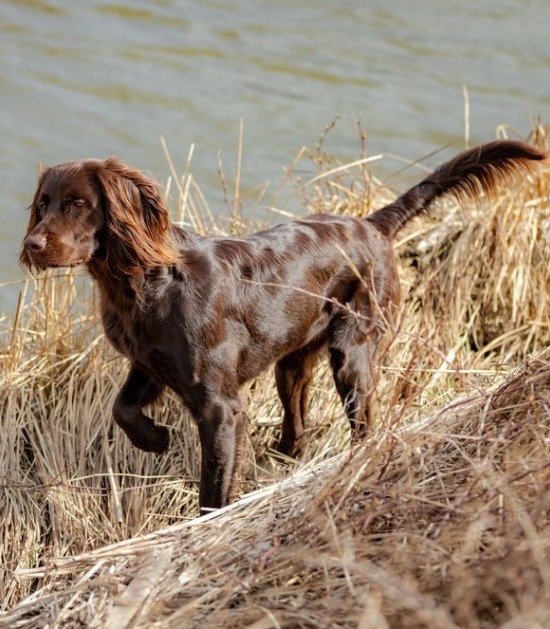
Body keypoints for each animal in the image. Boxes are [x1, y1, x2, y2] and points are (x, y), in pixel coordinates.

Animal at [19, 141, 548, 510]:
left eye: (78, 203)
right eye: (43, 203)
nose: (31, 244)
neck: (143, 283)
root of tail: (372, 225)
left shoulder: (219, 407)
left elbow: (214, 484)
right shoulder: (150, 365)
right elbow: (121, 409)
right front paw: (156, 439)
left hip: (353, 352)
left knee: (363, 424)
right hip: (291, 364)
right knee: (298, 428)